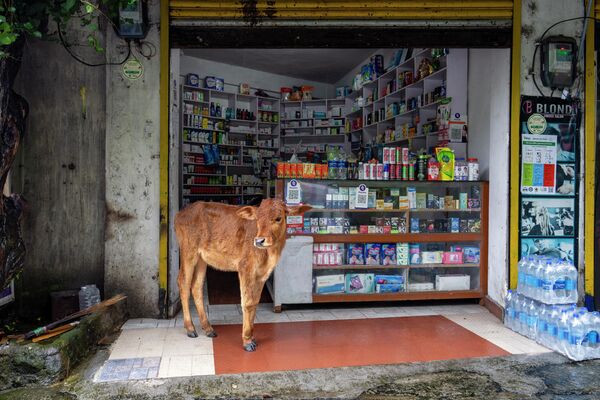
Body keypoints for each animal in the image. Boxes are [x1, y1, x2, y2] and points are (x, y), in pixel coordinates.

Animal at [175, 198, 312, 352]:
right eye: (257, 218)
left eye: (278, 218)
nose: (259, 241)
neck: (270, 254)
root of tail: (182, 212)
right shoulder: (245, 268)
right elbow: (247, 302)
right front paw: (247, 341)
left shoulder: (261, 274)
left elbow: (255, 302)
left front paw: (252, 336)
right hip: (188, 252)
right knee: (183, 283)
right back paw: (190, 328)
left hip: (201, 259)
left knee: (196, 287)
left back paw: (208, 328)